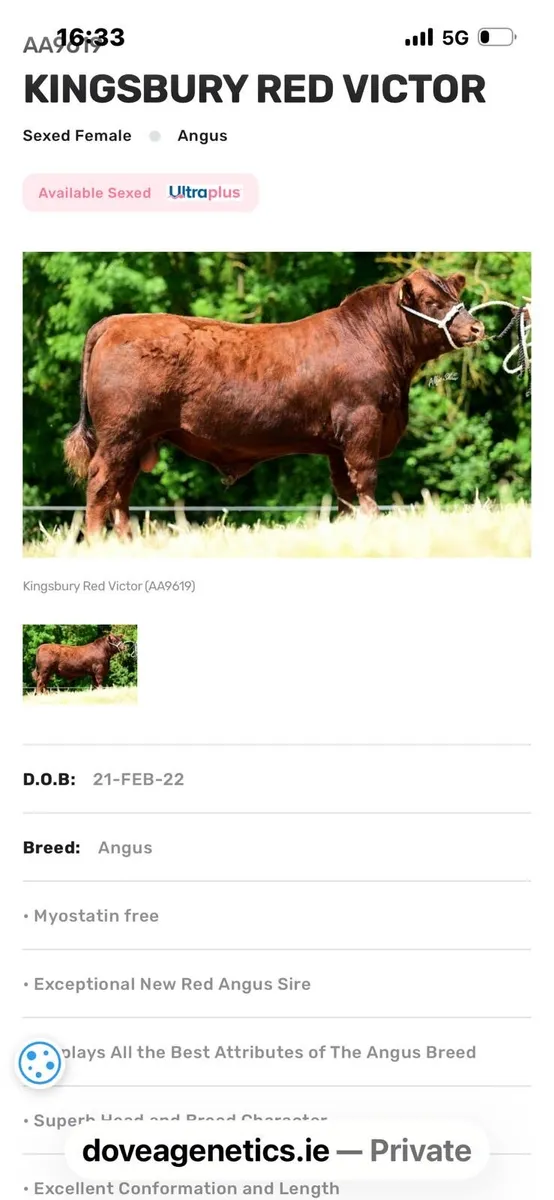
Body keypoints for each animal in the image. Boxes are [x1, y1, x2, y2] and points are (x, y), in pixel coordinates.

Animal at [63, 269, 485, 536]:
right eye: (430, 300)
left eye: (456, 295)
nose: (477, 327)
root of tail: (117, 321)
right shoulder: (362, 423)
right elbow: (365, 480)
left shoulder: (336, 444)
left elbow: (343, 491)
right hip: (122, 433)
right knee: (101, 483)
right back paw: (97, 541)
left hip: (137, 440)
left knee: (122, 490)